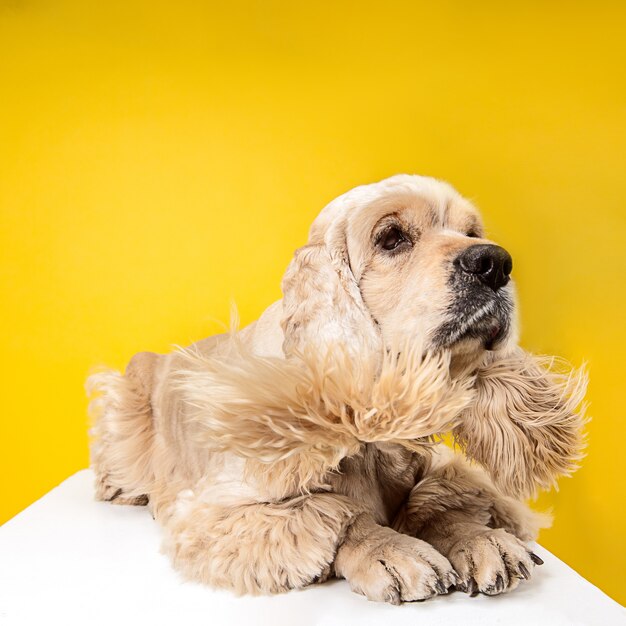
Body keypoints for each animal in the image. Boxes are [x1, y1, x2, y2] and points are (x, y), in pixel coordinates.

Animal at [88, 173, 584, 604]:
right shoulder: (218, 511)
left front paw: (480, 538)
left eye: (471, 232)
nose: (494, 263)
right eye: (392, 237)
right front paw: (390, 550)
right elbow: (334, 512)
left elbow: (443, 496)